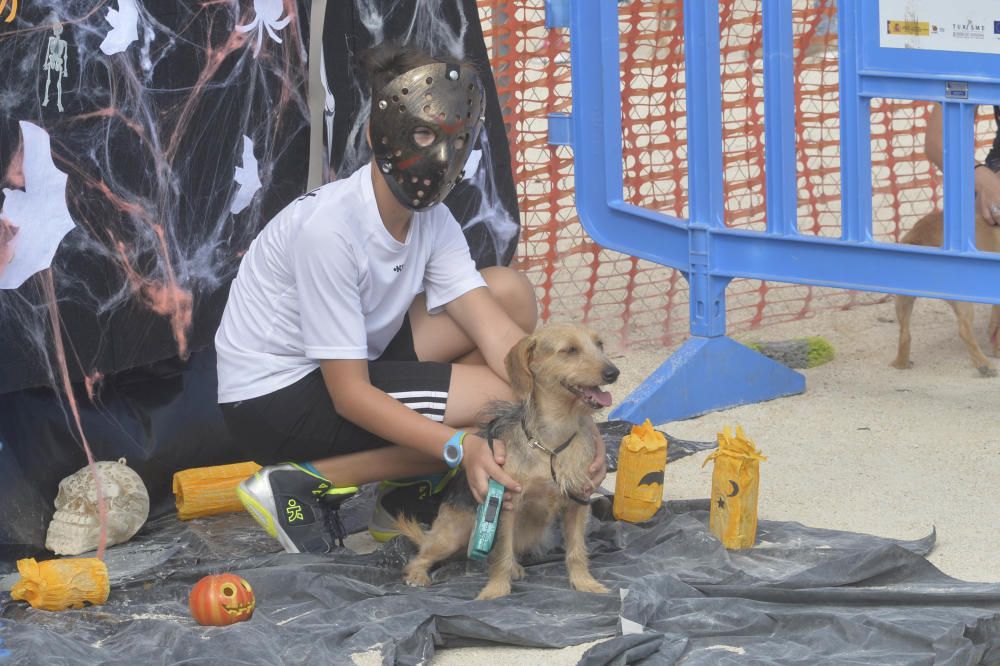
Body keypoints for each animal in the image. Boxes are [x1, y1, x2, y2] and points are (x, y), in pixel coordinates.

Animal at [392, 320, 612, 596]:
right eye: (570, 350)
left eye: (600, 345)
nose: (613, 372)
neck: (551, 441)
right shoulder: (506, 506)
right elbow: (500, 555)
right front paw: (495, 591)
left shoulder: (578, 502)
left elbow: (576, 550)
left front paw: (584, 582)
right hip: (452, 534)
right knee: (421, 556)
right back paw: (417, 575)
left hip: (530, 533)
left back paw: (516, 567)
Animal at [896, 210, 1000, 376]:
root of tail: (920, 236)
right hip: (963, 301)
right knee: (964, 330)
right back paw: (985, 365)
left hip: (903, 299)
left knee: (904, 333)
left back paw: (900, 363)